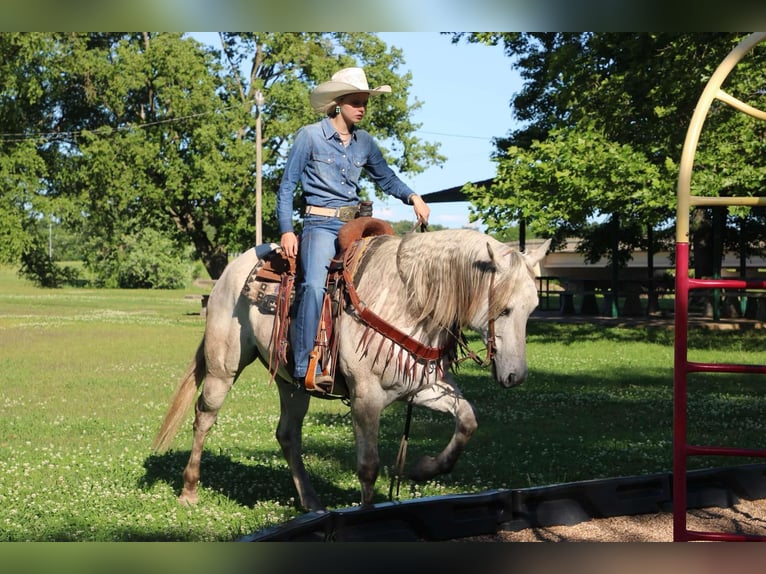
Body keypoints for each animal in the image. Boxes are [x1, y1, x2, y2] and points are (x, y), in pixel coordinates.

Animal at [152, 227, 550, 511]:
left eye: (533, 306)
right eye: (503, 309)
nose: (516, 376)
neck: (407, 300)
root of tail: (233, 270)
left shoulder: (423, 387)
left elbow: (468, 419)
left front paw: (425, 468)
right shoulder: (365, 398)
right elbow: (368, 465)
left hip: (291, 383)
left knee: (287, 435)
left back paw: (311, 502)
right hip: (224, 366)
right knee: (204, 417)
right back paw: (189, 490)